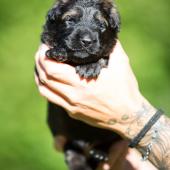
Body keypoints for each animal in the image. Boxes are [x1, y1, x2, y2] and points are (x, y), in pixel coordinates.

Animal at [41, 0, 121, 170]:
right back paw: (76, 160)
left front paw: (90, 66)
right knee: (71, 148)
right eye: (70, 20)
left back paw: (100, 152)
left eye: (101, 24)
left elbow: (102, 58)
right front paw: (57, 52)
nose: (86, 41)